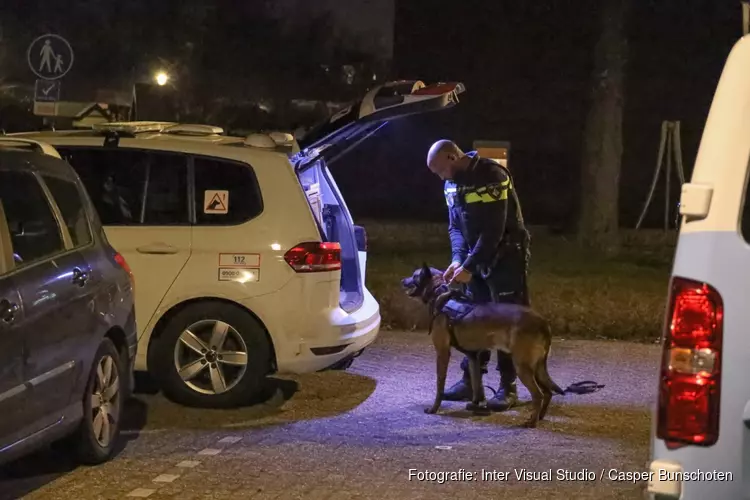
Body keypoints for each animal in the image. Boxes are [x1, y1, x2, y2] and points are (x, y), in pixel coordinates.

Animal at [402, 264, 560, 428]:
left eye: (414, 275)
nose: (402, 281)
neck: (440, 293)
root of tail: (543, 322)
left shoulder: (442, 352)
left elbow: (440, 385)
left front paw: (434, 408)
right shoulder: (473, 357)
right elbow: (477, 384)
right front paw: (477, 405)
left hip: (523, 366)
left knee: (538, 394)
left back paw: (532, 422)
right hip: (537, 367)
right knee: (548, 392)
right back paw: (540, 416)